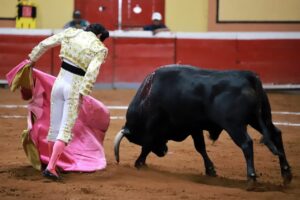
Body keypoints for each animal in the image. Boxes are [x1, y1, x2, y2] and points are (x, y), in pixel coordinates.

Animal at [113, 65, 292, 186]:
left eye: (137, 139)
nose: (163, 152)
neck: (149, 97)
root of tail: (248, 76)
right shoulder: (194, 127)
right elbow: (201, 147)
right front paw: (210, 170)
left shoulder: (171, 128)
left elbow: (148, 147)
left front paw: (139, 162)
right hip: (260, 118)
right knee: (276, 134)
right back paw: (286, 174)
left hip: (235, 125)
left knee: (246, 144)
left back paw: (251, 178)